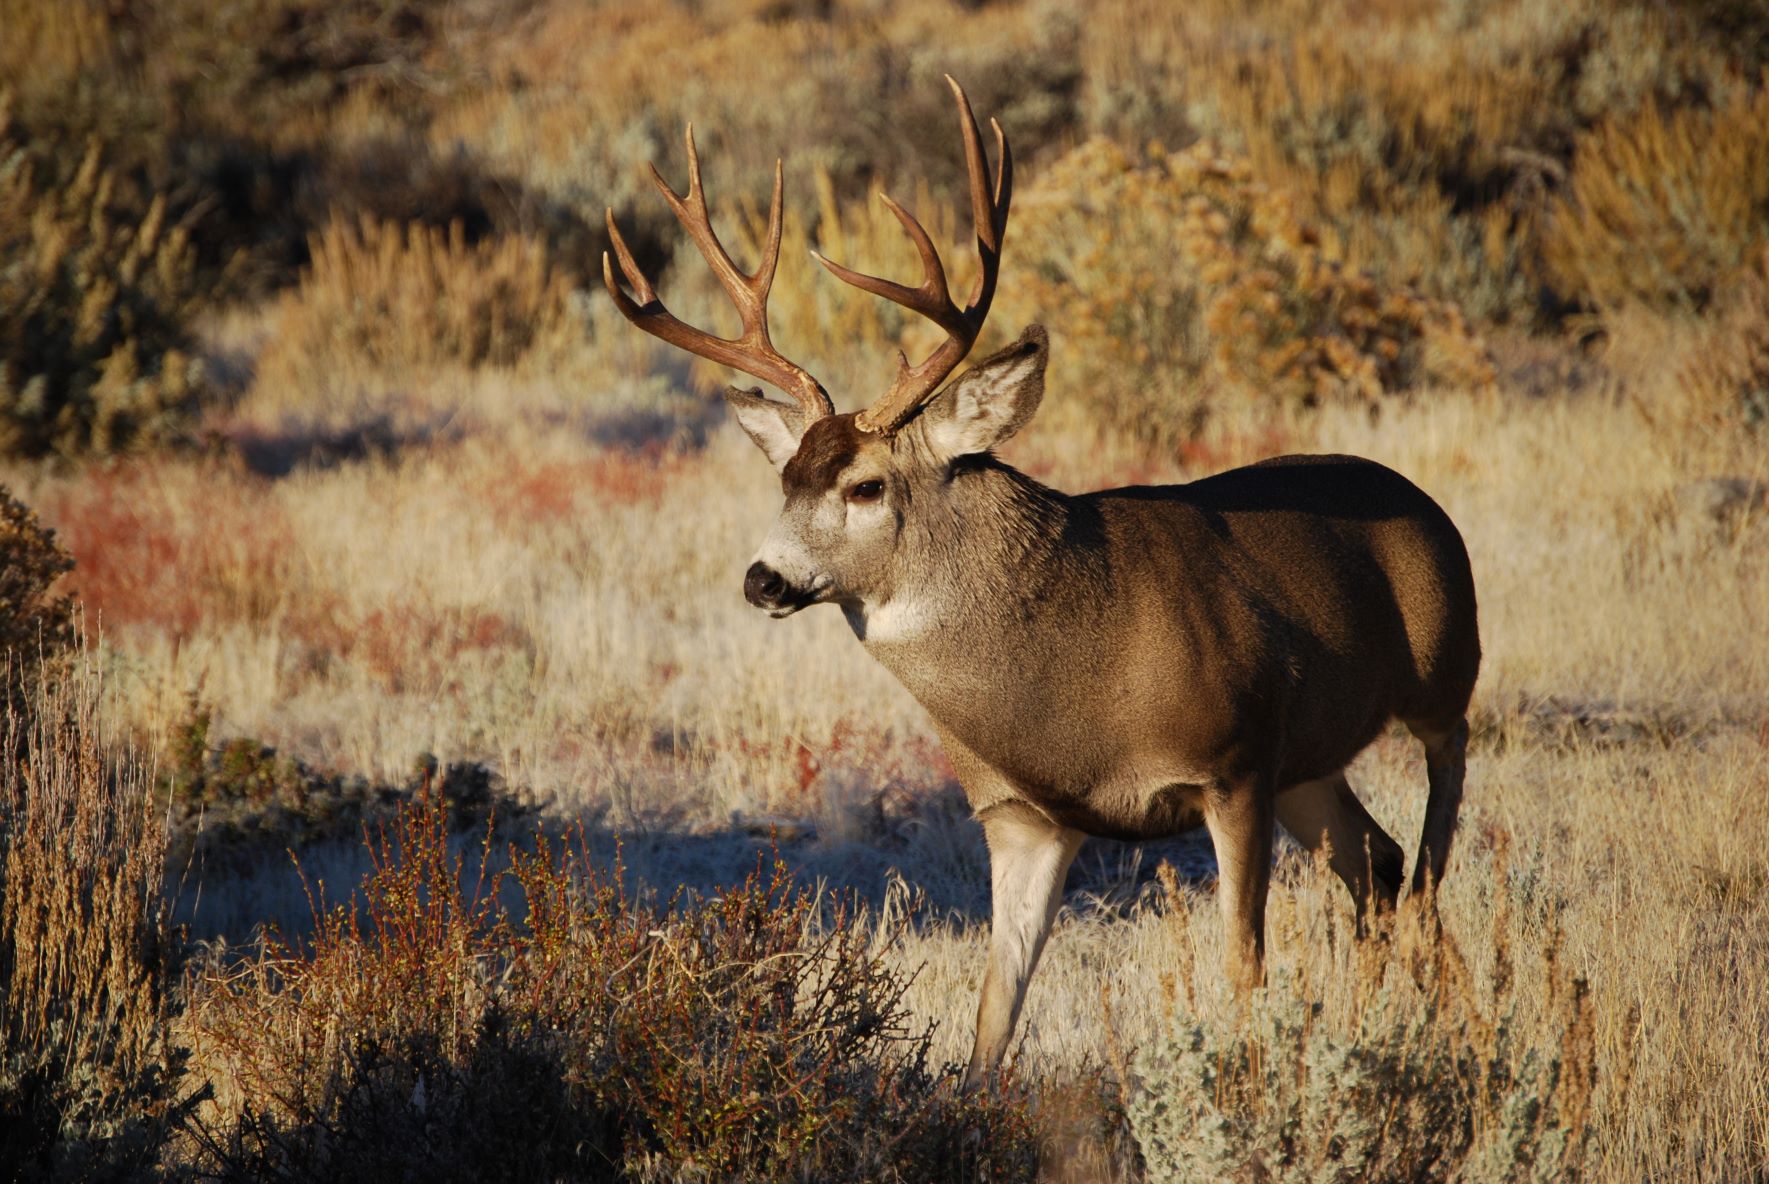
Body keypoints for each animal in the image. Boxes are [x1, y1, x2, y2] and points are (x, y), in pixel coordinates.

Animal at [604, 78, 1478, 1083]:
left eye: (865, 485)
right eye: (784, 480)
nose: (763, 579)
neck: (1076, 683)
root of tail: (1419, 501)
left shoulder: (1233, 764)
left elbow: (1241, 968)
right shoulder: (1021, 814)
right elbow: (994, 1013)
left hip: (1444, 678)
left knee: (1427, 855)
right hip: (1312, 763)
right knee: (1377, 865)